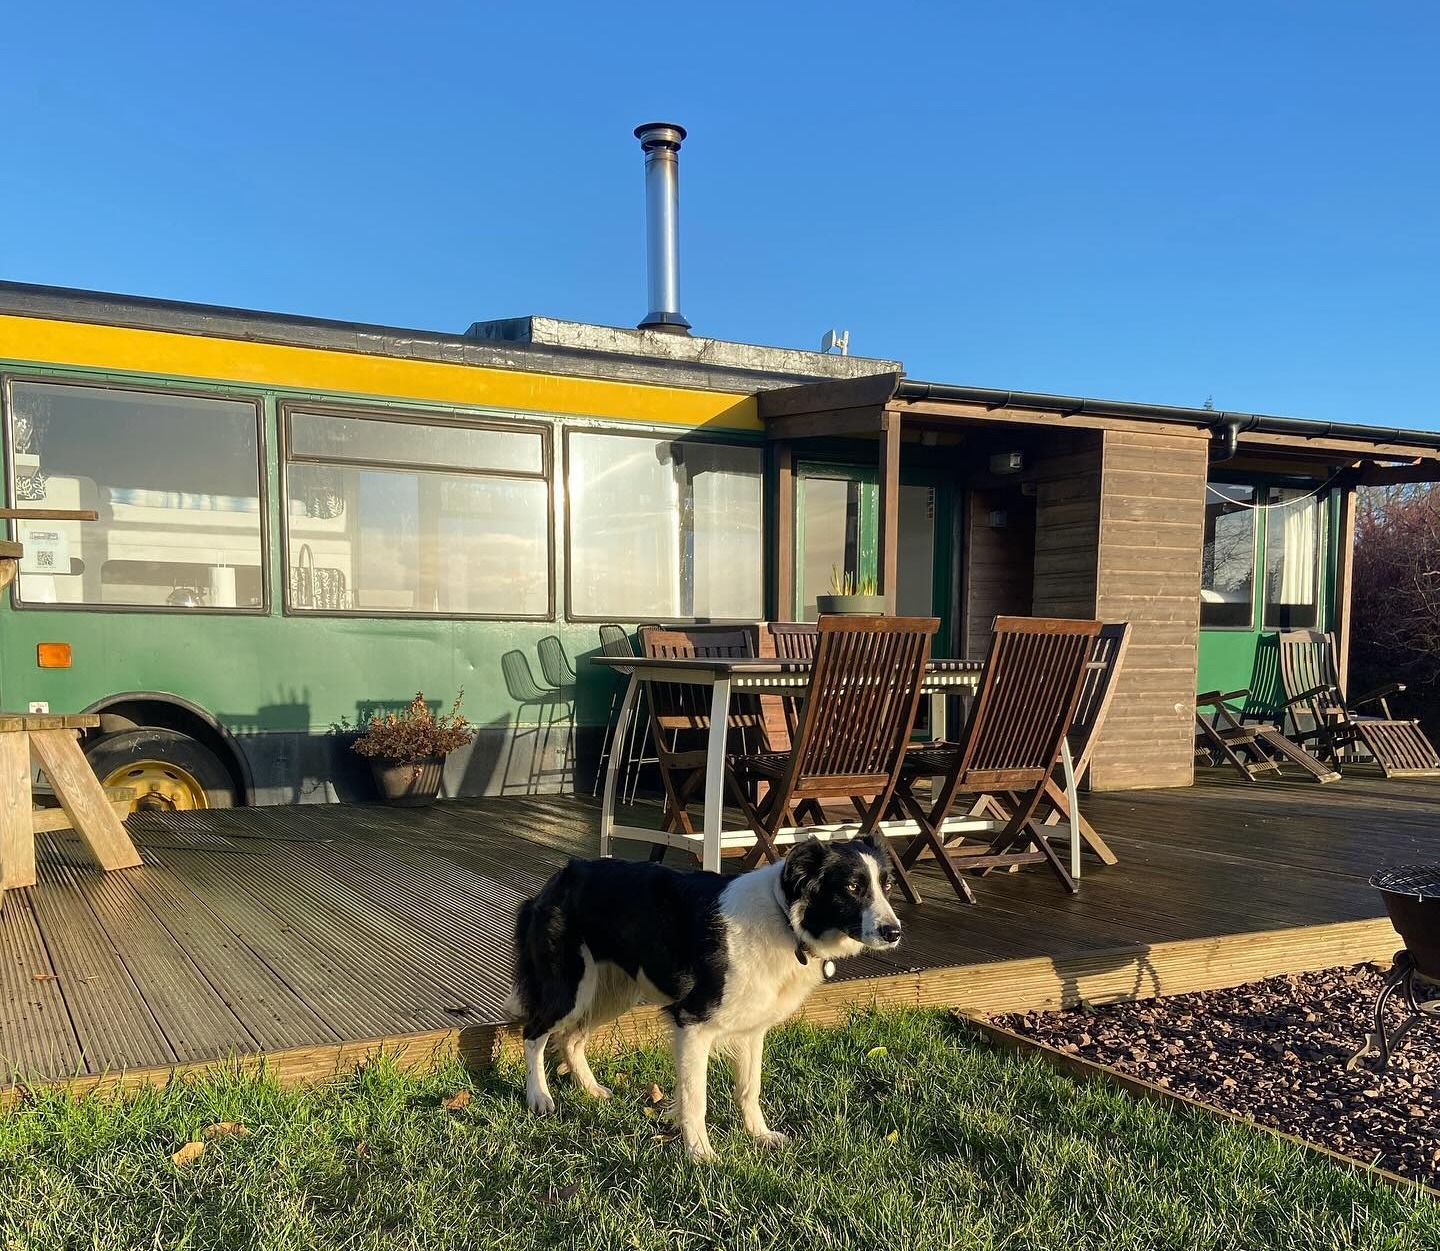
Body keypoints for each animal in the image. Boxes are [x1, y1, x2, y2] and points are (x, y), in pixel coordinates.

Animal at [512, 834, 904, 1157]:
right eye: (852, 886)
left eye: (887, 885)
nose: (894, 933)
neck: (786, 920)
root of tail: (560, 876)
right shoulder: (693, 1024)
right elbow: (695, 1098)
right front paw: (700, 1154)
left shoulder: (751, 1031)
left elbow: (749, 1089)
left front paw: (759, 1135)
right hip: (569, 990)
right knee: (533, 1033)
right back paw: (539, 1097)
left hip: (612, 993)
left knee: (572, 1039)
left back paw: (591, 1091)